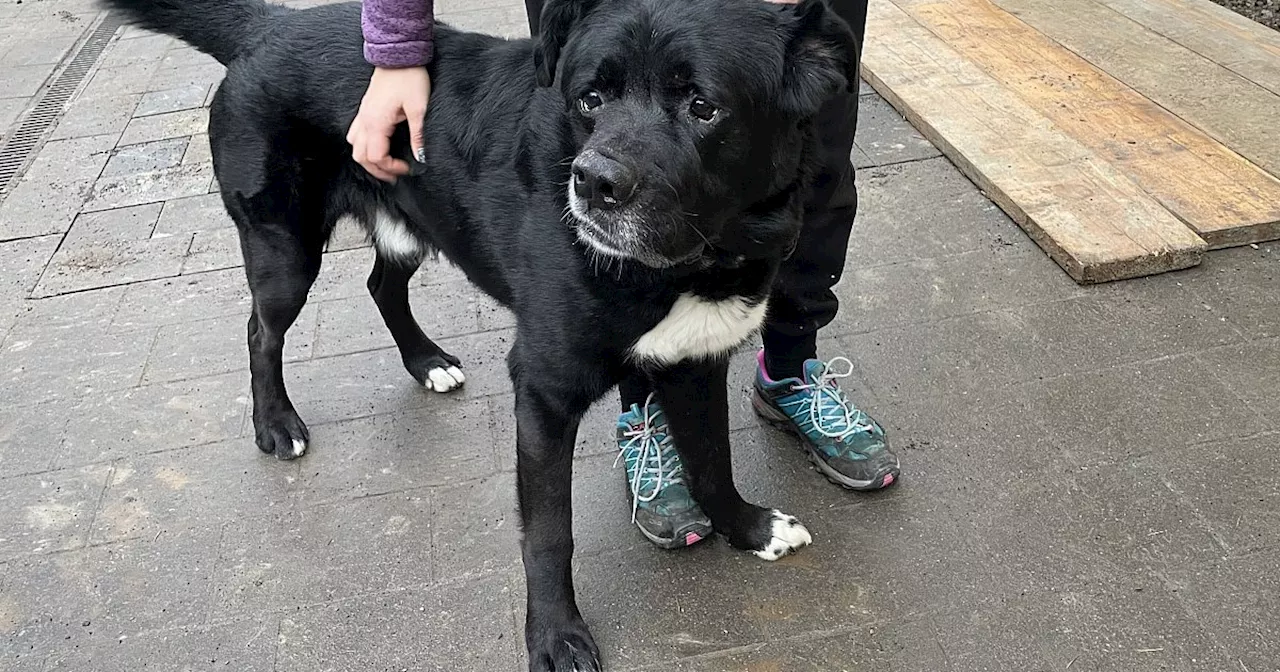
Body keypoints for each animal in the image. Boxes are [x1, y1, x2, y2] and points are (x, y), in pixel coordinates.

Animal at [99, 0, 860, 665]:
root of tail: (269, 24)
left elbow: (712, 461)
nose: (592, 184)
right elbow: (549, 536)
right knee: (261, 331)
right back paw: (276, 423)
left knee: (381, 286)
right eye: (590, 100)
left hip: (407, 219)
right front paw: (555, 637)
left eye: (703, 105)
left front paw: (749, 528)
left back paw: (426, 362)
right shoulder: (545, 392)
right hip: (284, 250)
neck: (700, 258)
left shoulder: (696, 361)